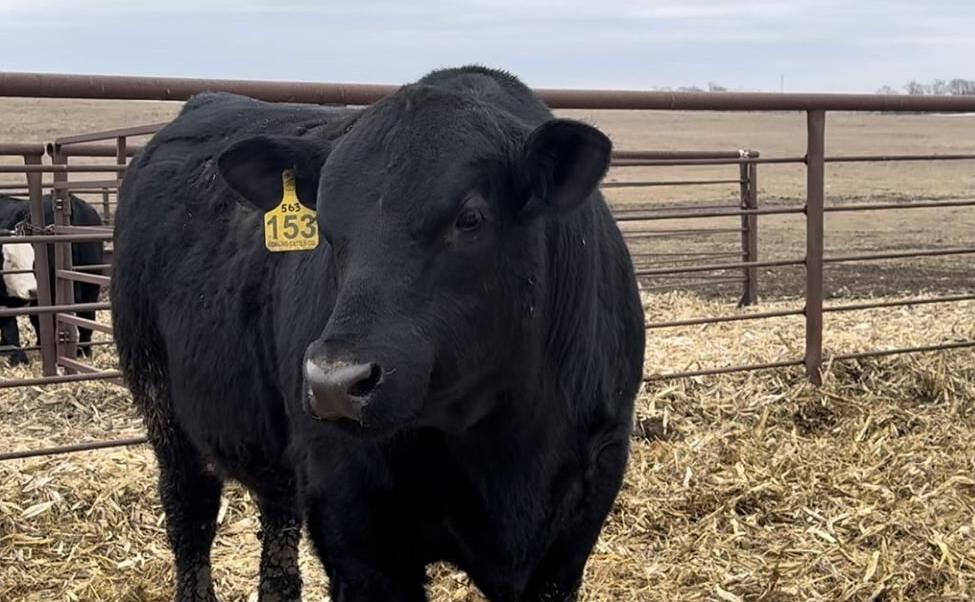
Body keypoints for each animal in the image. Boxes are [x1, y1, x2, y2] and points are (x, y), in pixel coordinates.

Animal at [0, 194, 106, 364]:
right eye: (8, 259)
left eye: (33, 259)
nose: (32, 290)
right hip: (90, 278)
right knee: (86, 315)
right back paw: (83, 351)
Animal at [112, 65, 645, 602]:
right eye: (325, 225)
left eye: (470, 217)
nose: (333, 383)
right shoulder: (354, 528)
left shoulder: (575, 524)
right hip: (163, 405)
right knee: (191, 515)